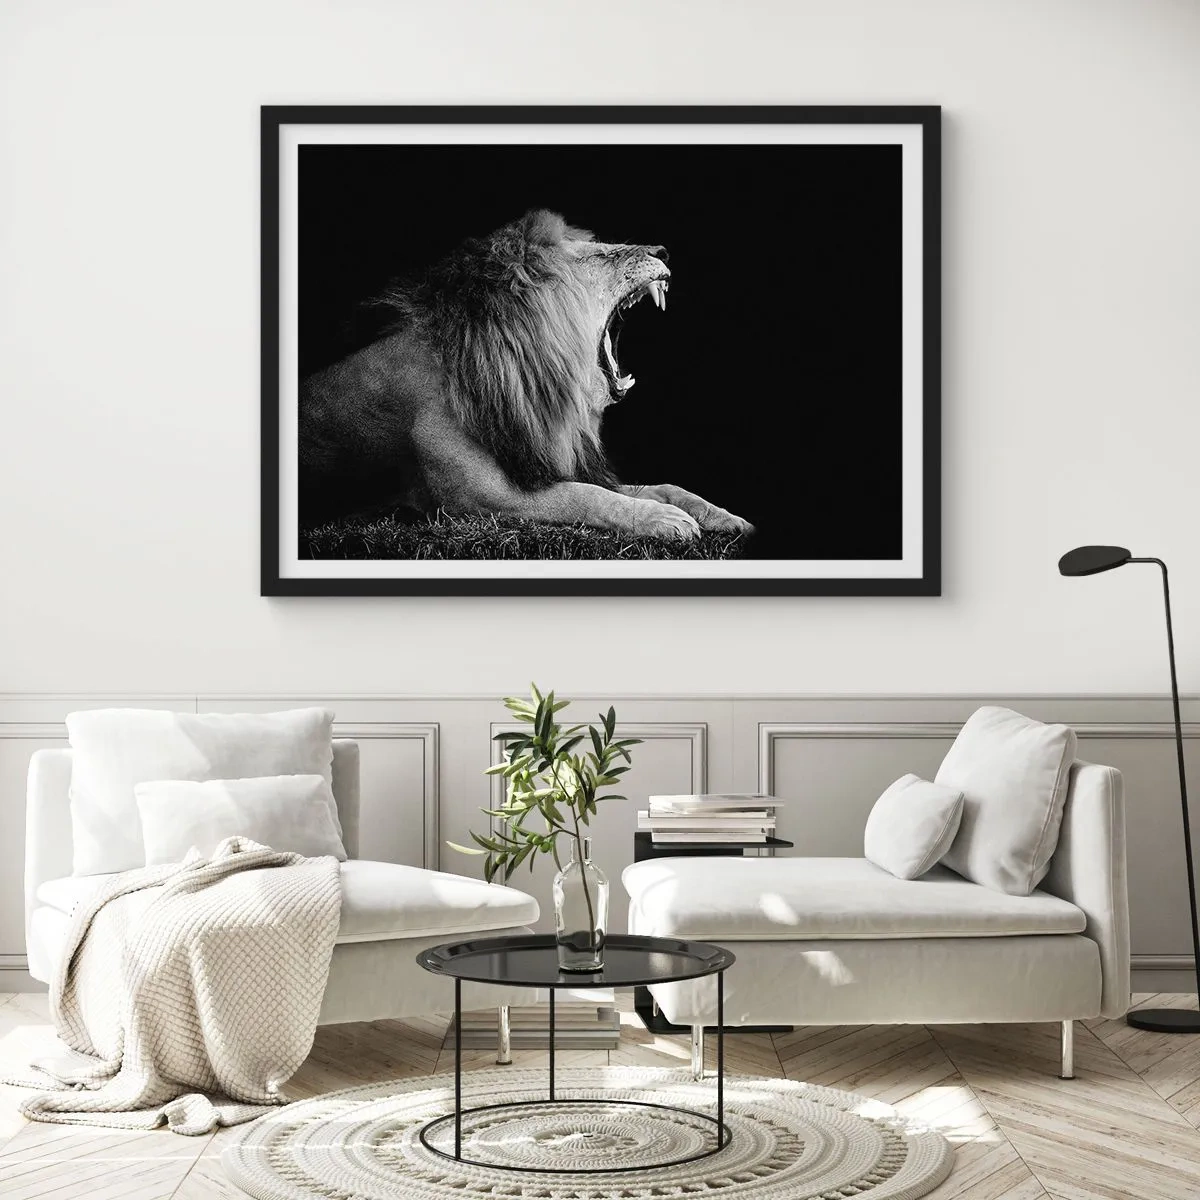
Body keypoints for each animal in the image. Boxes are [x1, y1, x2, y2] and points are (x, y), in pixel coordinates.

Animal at [299, 209, 753, 543]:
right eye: (597, 255)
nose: (664, 250)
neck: (527, 384)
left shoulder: (541, 462)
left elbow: (661, 486)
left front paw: (721, 515)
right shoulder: (481, 500)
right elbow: (586, 498)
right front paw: (665, 520)